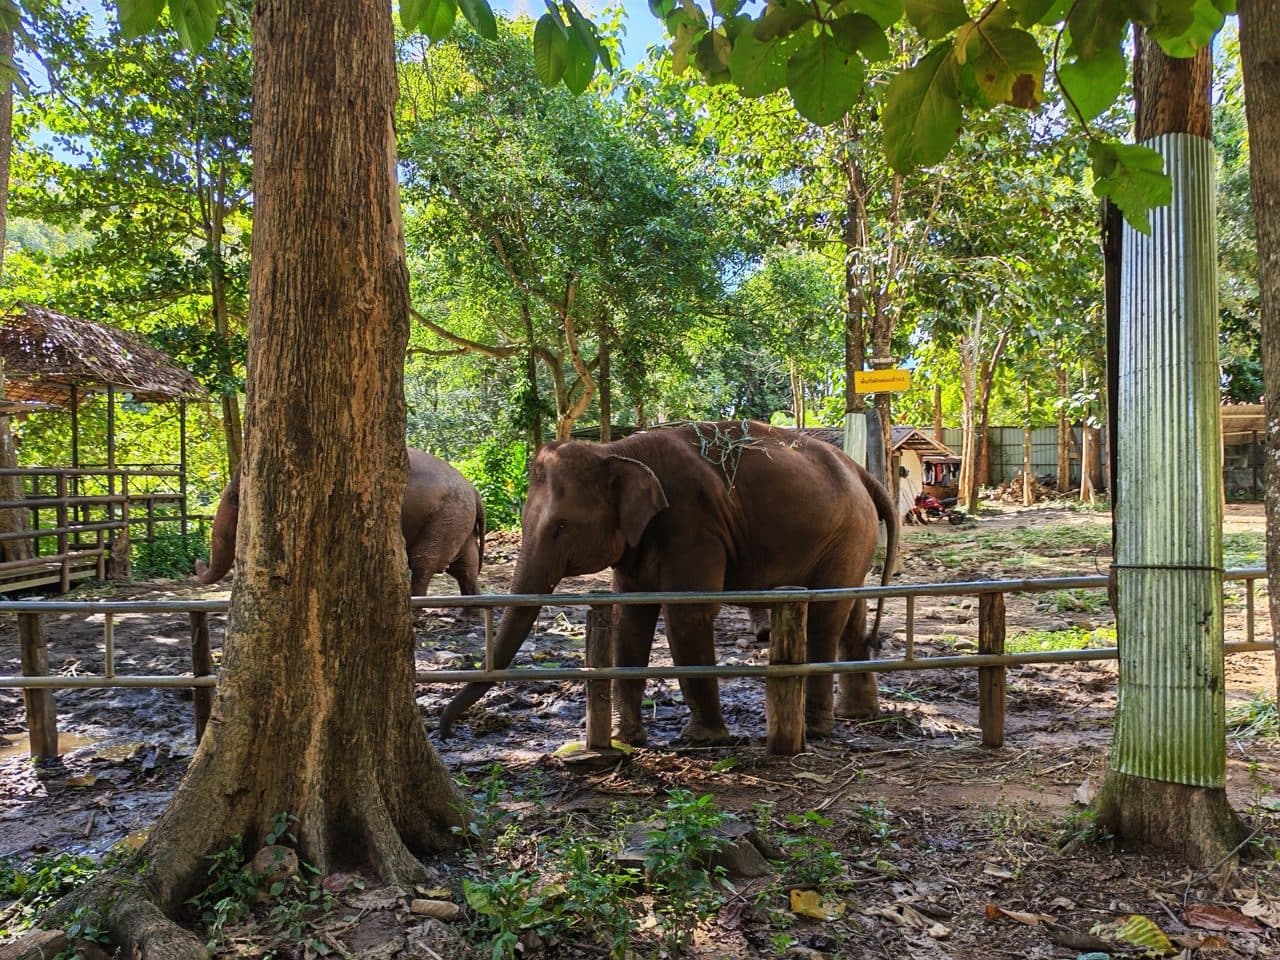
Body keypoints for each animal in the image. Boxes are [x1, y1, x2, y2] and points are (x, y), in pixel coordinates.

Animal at [195, 448, 486, 600]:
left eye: (235, 499)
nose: (197, 562)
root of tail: (474, 490)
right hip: (457, 519)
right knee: (465, 567)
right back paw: (469, 615)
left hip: (447, 517)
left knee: (423, 563)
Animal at [438, 420, 898, 744]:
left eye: (561, 527)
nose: (445, 731)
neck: (616, 451)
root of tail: (862, 472)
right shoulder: (638, 541)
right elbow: (631, 617)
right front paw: (625, 738)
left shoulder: (692, 524)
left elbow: (687, 614)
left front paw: (702, 739)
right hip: (850, 539)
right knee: (852, 610)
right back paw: (856, 715)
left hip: (847, 532)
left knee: (825, 616)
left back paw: (817, 729)